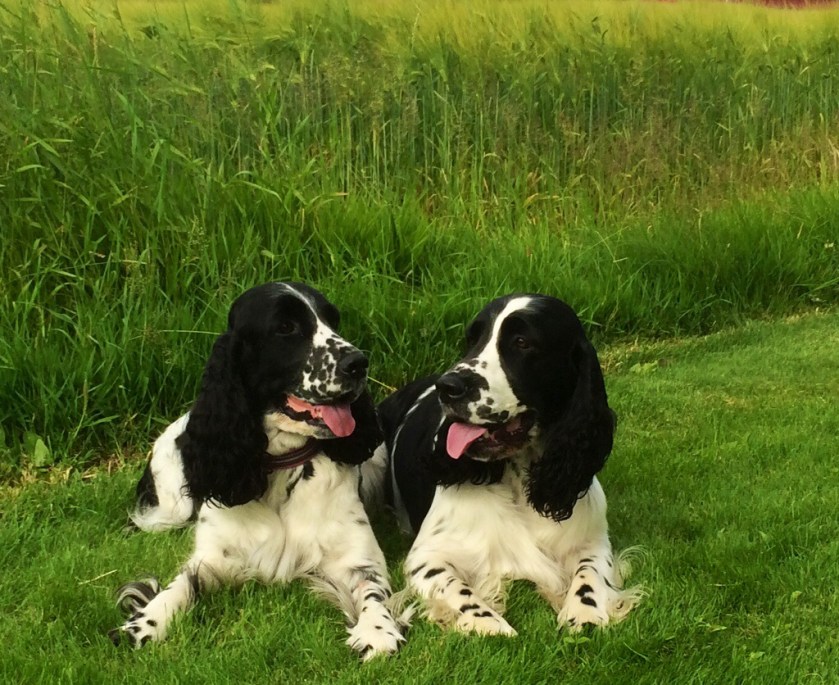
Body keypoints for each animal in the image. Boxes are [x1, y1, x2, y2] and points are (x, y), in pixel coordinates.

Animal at [109, 282, 406, 660]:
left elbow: (371, 589)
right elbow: (180, 585)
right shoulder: (214, 557)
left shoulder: (357, 557)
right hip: (169, 510)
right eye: (286, 328)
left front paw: (377, 630)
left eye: (333, 320)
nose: (358, 363)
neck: (280, 467)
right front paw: (145, 622)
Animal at [373, 293, 641, 636]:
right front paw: (487, 621)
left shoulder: (592, 541)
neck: (517, 477)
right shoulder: (428, 557)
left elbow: (589, 573)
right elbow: (456, 587)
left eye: (522, 342)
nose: (448, 386)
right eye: (472, 339)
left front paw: (585, 610)